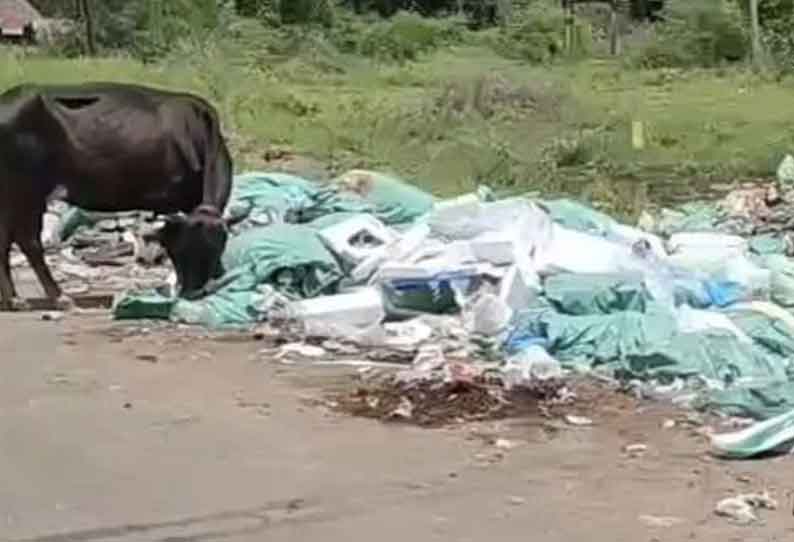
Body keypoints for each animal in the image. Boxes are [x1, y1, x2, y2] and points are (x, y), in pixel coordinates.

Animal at [0, 81, 234, 310]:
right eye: (182, 250)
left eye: (213, 250)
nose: (191, 292)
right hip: (27, 191)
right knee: (29, 241)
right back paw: (57, 297)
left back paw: (13, 299)